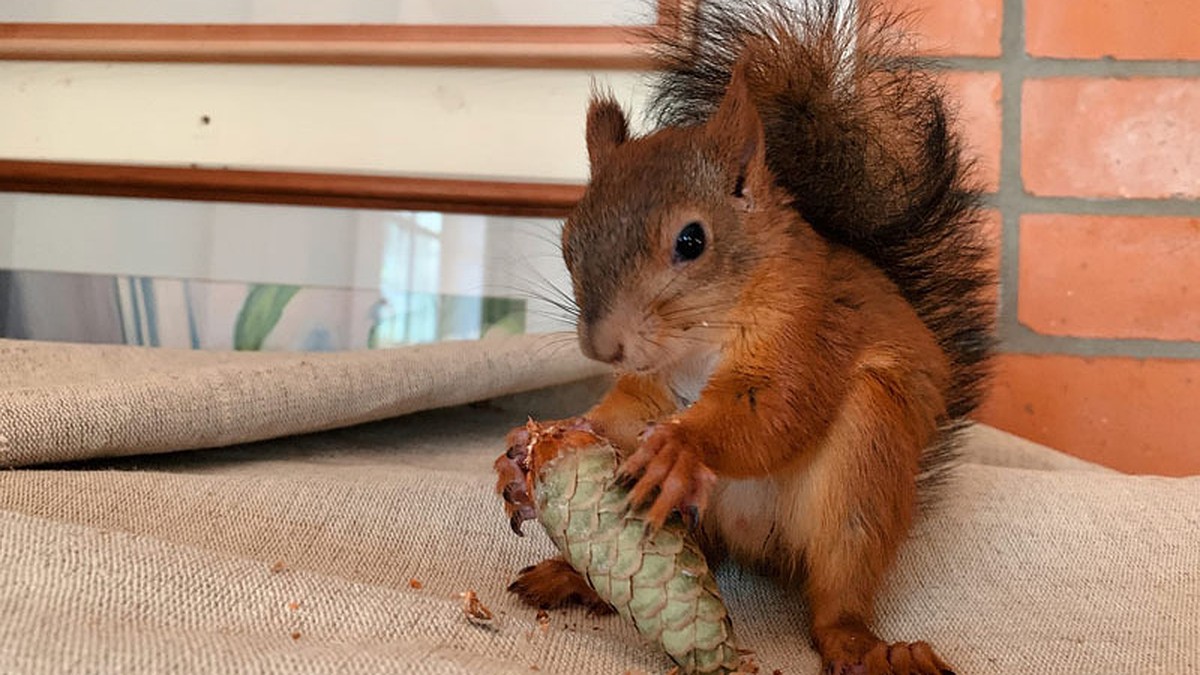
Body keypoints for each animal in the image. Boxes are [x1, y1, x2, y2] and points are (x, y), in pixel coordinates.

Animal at [496, 2, 993, 667]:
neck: (699, 340)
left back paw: (866, 645)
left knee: (838, 591)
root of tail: (759, 547)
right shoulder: (656, 385)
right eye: (569, 241)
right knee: (703, 555)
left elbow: (776, 409)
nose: (603, 348)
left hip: (864, 470)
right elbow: (626, 413)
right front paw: (540, 445)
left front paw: (683, 446)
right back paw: (573, 577)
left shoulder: (809, 329)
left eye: (692, 240)